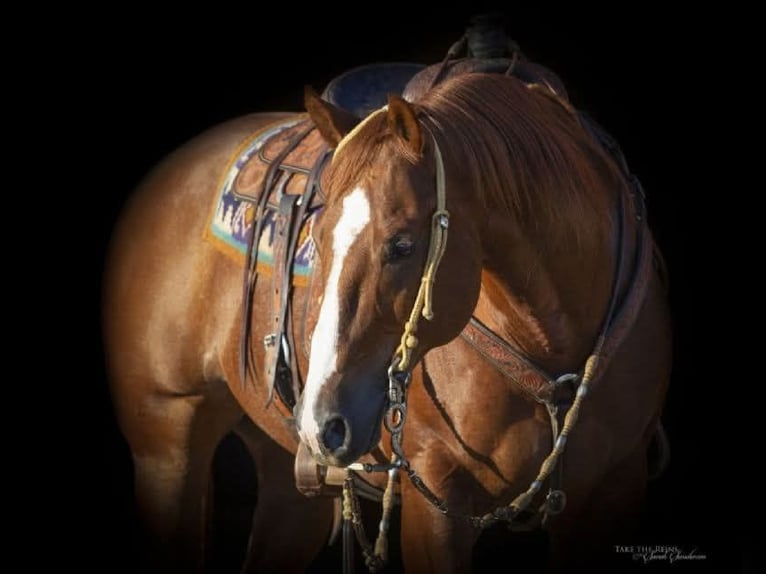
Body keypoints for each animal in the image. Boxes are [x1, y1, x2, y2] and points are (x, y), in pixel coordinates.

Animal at [102, 48, 672, 573]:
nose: (323, 423)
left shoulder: (614, 491)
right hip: (167, 446)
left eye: (402, 245)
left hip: (288, 478)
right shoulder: (436, 504)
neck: (550, 350)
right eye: (317, 237)